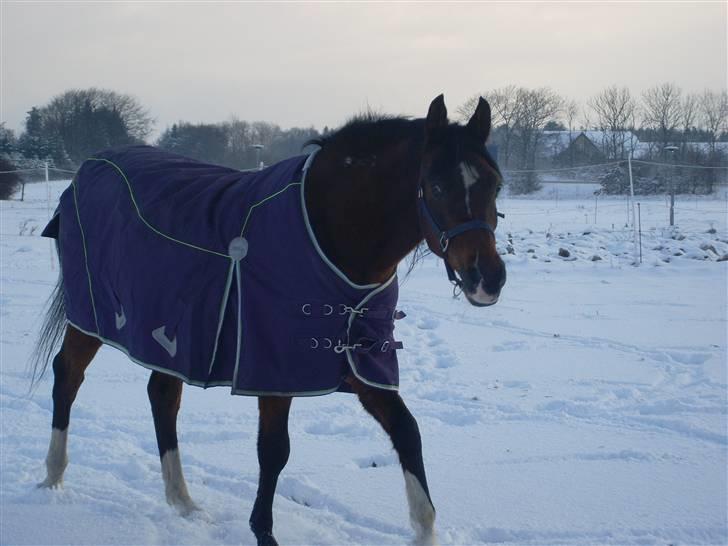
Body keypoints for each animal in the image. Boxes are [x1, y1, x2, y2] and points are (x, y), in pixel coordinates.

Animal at [29, 94, 506, 544]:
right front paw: (263, 531)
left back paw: (182, 501)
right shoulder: (274, 366)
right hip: (90, 319)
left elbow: (407, 432)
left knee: (162, 395)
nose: (487, 278)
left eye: (495, 184)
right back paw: (52, 476)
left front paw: (424, 531)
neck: (328, 232)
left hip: (171, 335)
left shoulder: (363, 360)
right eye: (437, 186)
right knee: (68, 376)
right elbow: (274, 450)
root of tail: (89, 168)